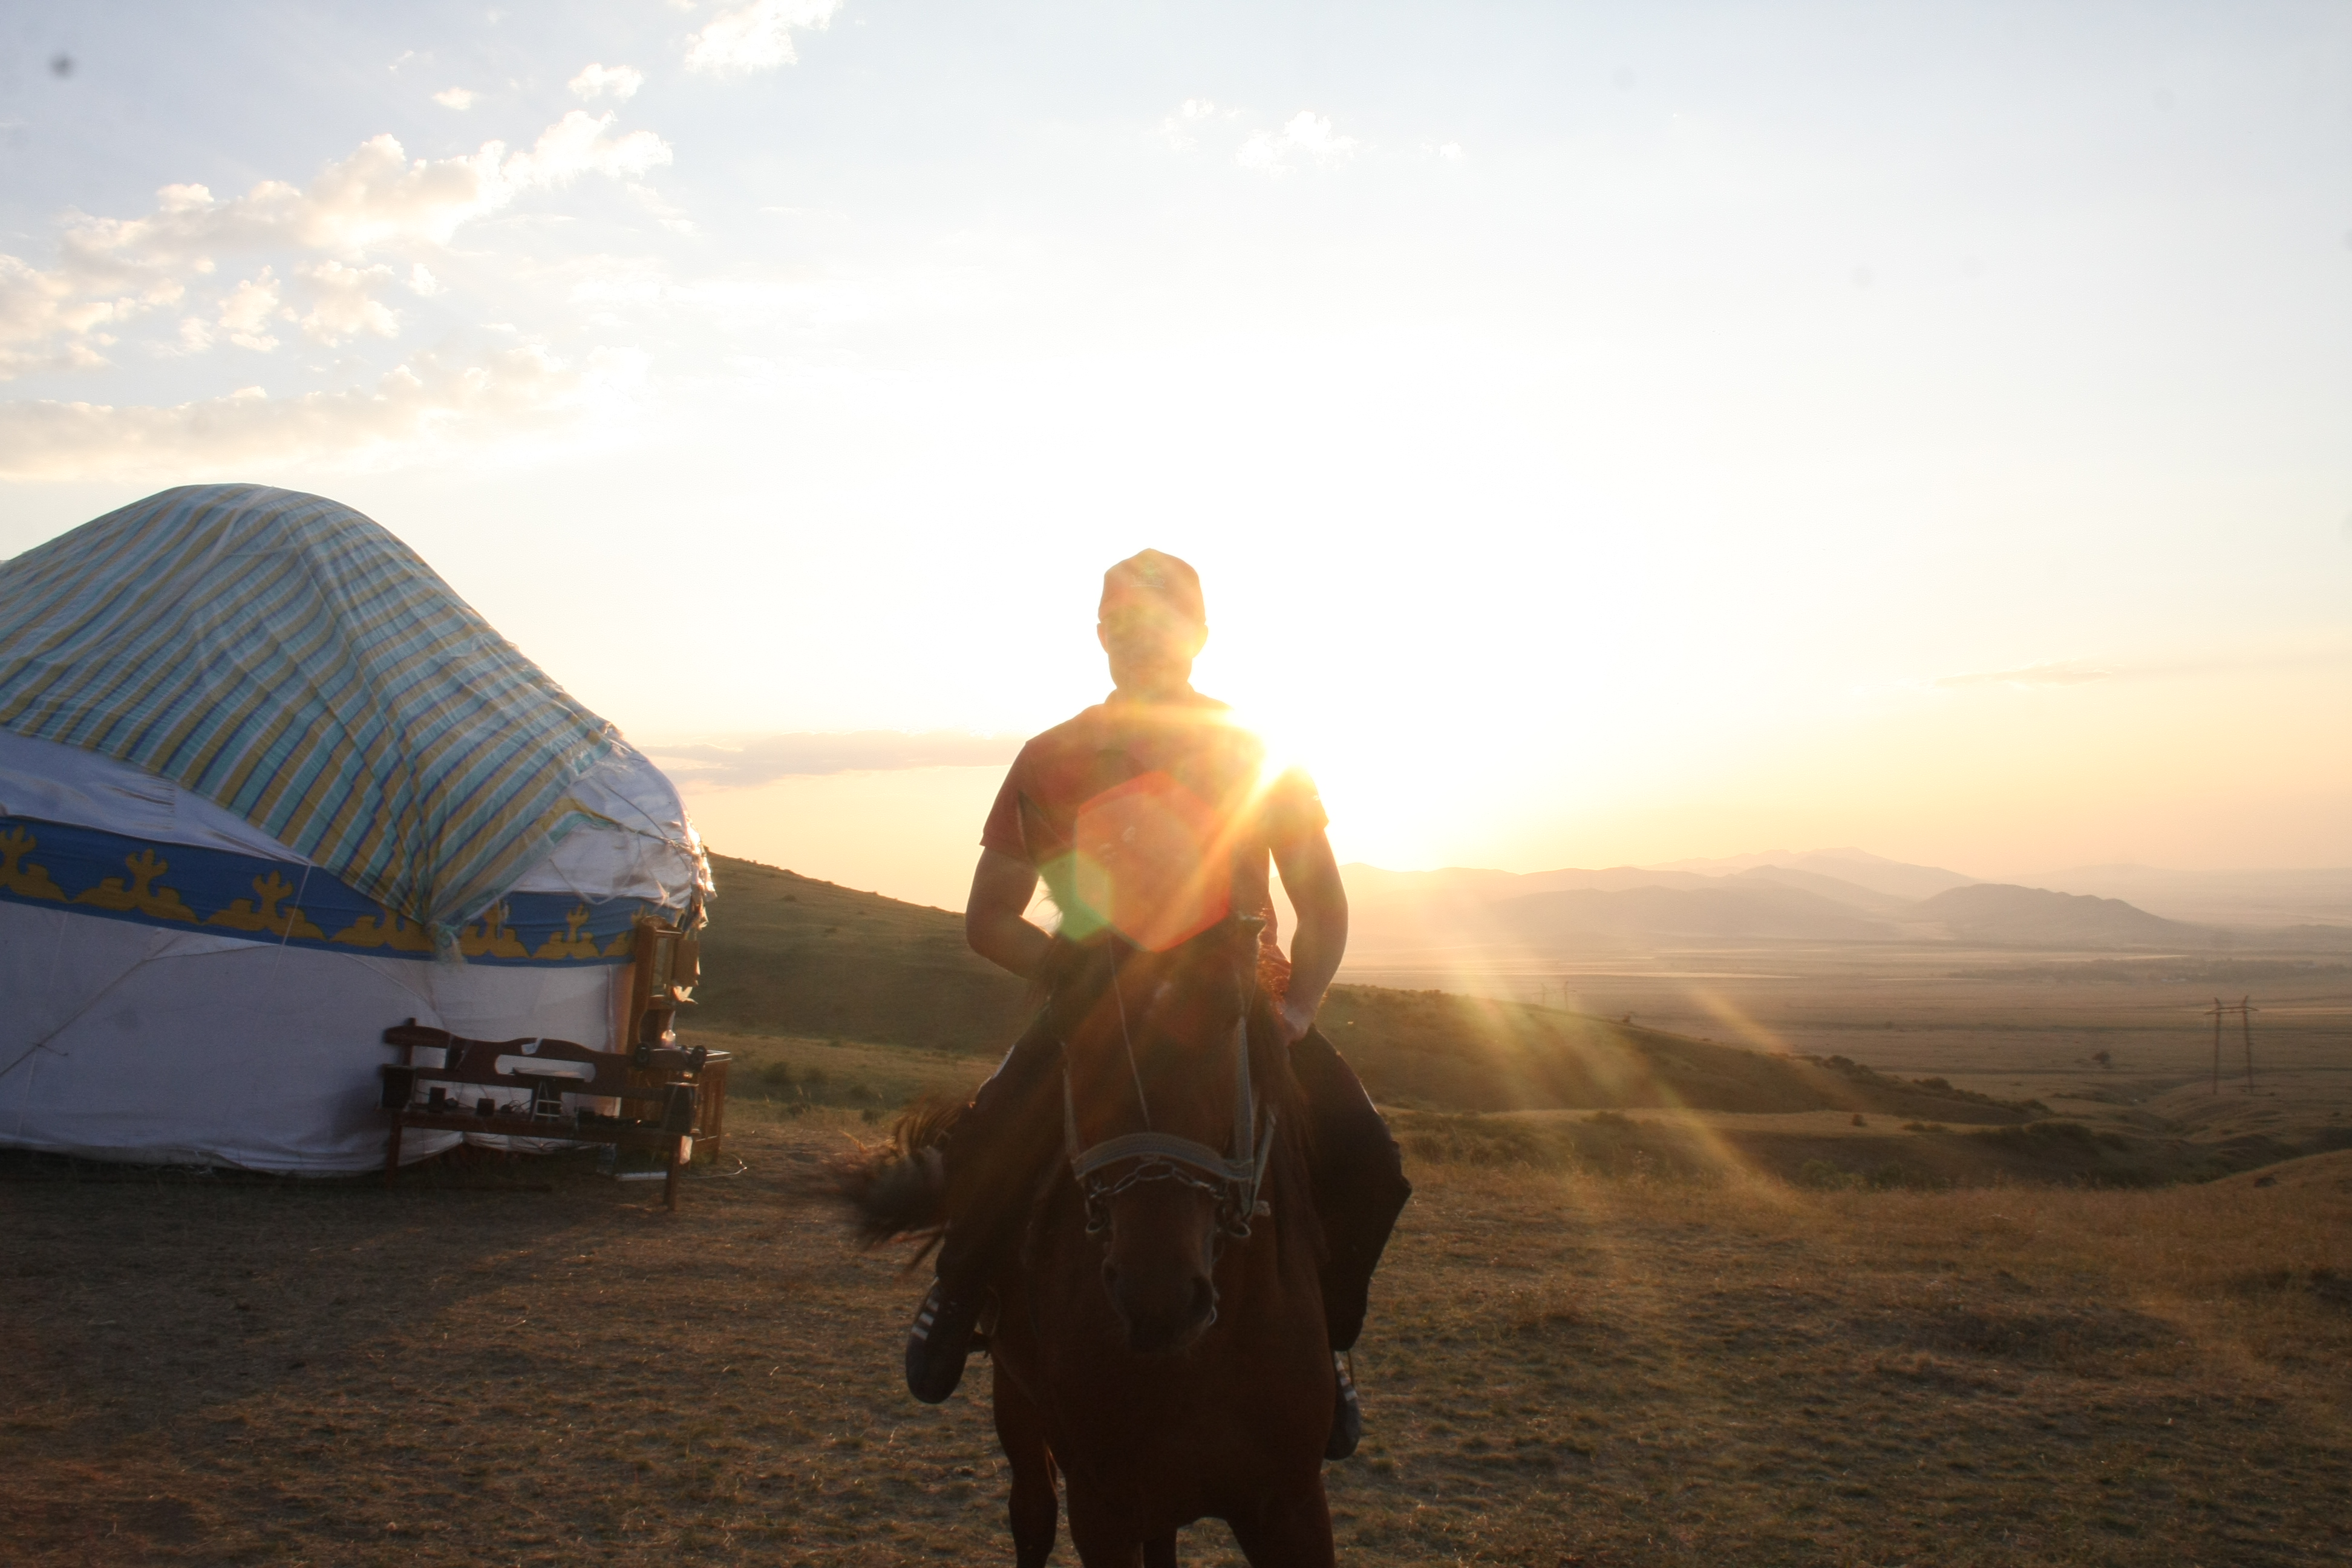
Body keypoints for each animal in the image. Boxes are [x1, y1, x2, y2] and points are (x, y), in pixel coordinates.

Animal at [845, 915, 1337, 1567]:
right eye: (1074, 1035)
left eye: (1227, 1017)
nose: (1159, 1298)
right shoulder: (1102, 1507)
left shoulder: (1290, 1506)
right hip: (1016, 1400)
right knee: (1032, 1515)